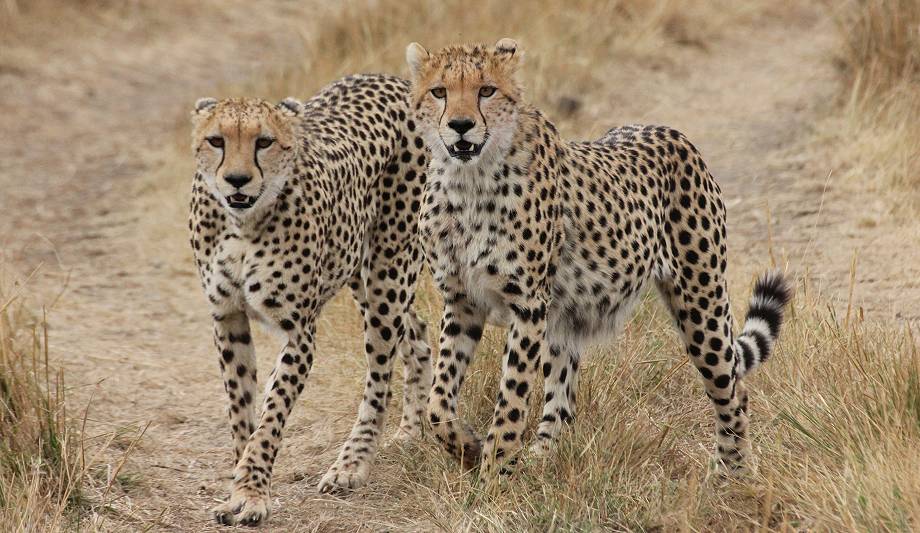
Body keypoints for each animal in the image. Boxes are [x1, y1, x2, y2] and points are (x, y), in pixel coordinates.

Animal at [190, 74, 432, 524]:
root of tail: (391, 79)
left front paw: (251, 493)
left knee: (379, 377)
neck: (243, 224)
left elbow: (270, 417)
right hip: (363, 278)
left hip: (387, 277)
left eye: (264, 142)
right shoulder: (228, 318)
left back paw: (351, 466)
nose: (236, 180)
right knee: (419, 332)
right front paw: (239, 485)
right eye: (216, 141)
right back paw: (411, 431)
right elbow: (242, 409)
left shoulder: (299, 331)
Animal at [406, 39, 796, 476]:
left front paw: (494, 473)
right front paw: (468, 449)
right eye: (439, 92)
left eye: (486, 90)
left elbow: (511, 396)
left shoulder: (528, 304)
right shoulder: (462, 301)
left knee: (731, 387)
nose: (460, 125)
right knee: (562, 402)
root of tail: (667, 130)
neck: (468, 182)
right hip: (564, 319)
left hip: (701, 302)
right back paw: (542, 460)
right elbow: (437, 402)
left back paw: (733, 471)